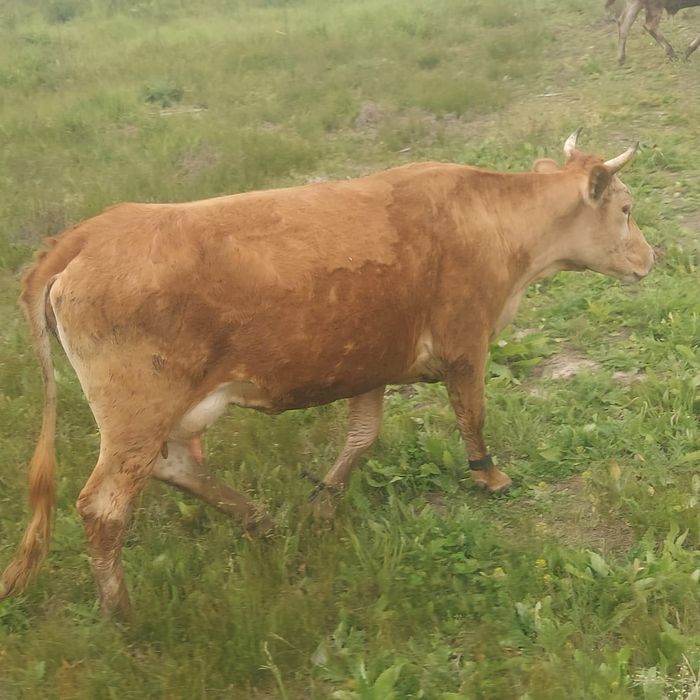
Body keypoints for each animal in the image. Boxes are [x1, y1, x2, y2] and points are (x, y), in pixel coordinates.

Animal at [0, 131, 654, 618]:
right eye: (626, 209)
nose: (653, 257)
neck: (492, 222)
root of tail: (89, 232)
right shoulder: (465, 344)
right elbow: (472, 414)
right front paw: (489, 477)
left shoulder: (370, 361)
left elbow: (362, 436)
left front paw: (322, 502)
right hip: (138, 409)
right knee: (104, 506)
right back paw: (122, 613)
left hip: (166, 411)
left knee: (174, 465)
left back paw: (257, 519)